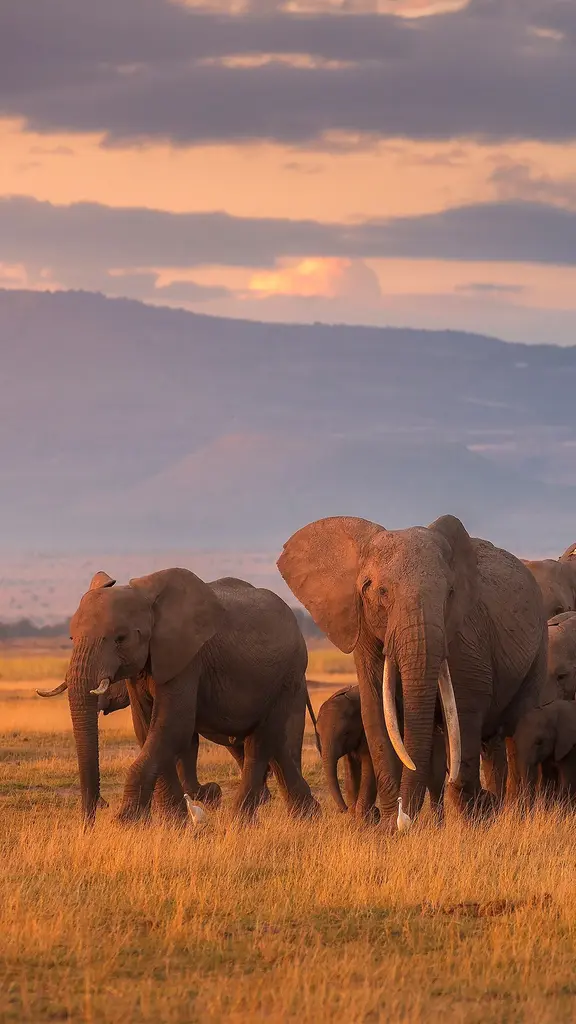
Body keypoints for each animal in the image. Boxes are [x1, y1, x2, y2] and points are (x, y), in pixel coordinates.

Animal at [38, 569, 319, 825]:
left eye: (121, 639)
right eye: (71, 637)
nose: (100, 807)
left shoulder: (187, 660)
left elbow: (172, 726)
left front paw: (125, 823)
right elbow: (148, 729)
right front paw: (173, 822)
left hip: (287, 676)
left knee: (260, 744)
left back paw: (242, 822)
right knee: (276, 745)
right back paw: (307, 816)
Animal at [317, 684, 447, 823]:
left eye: (345, 733)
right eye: (318, 734)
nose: (343, 809)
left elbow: (369, 770)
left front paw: (365, 819)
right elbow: (351, 772)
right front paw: (355, 818)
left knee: (435, 780)